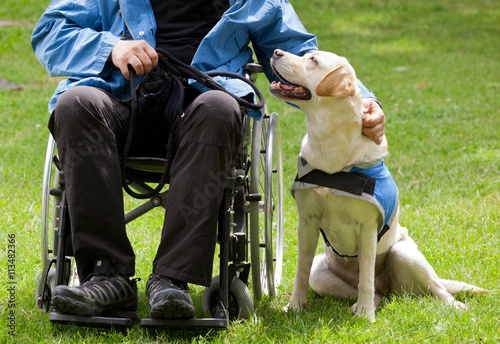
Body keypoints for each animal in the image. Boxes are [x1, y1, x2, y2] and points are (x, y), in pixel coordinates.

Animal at [272, 49, 486, 322]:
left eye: (313, 60)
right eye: (306, 55)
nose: (276, 52)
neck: (330, 147)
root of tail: (389, 286)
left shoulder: (367, 228)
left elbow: (365, 277)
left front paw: (366, 316)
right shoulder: (307, 222)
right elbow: (301, 270)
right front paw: (295, 307)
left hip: (404, 253)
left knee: (436, 289)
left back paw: (454, 306)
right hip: (320, 273)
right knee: (376, 294)